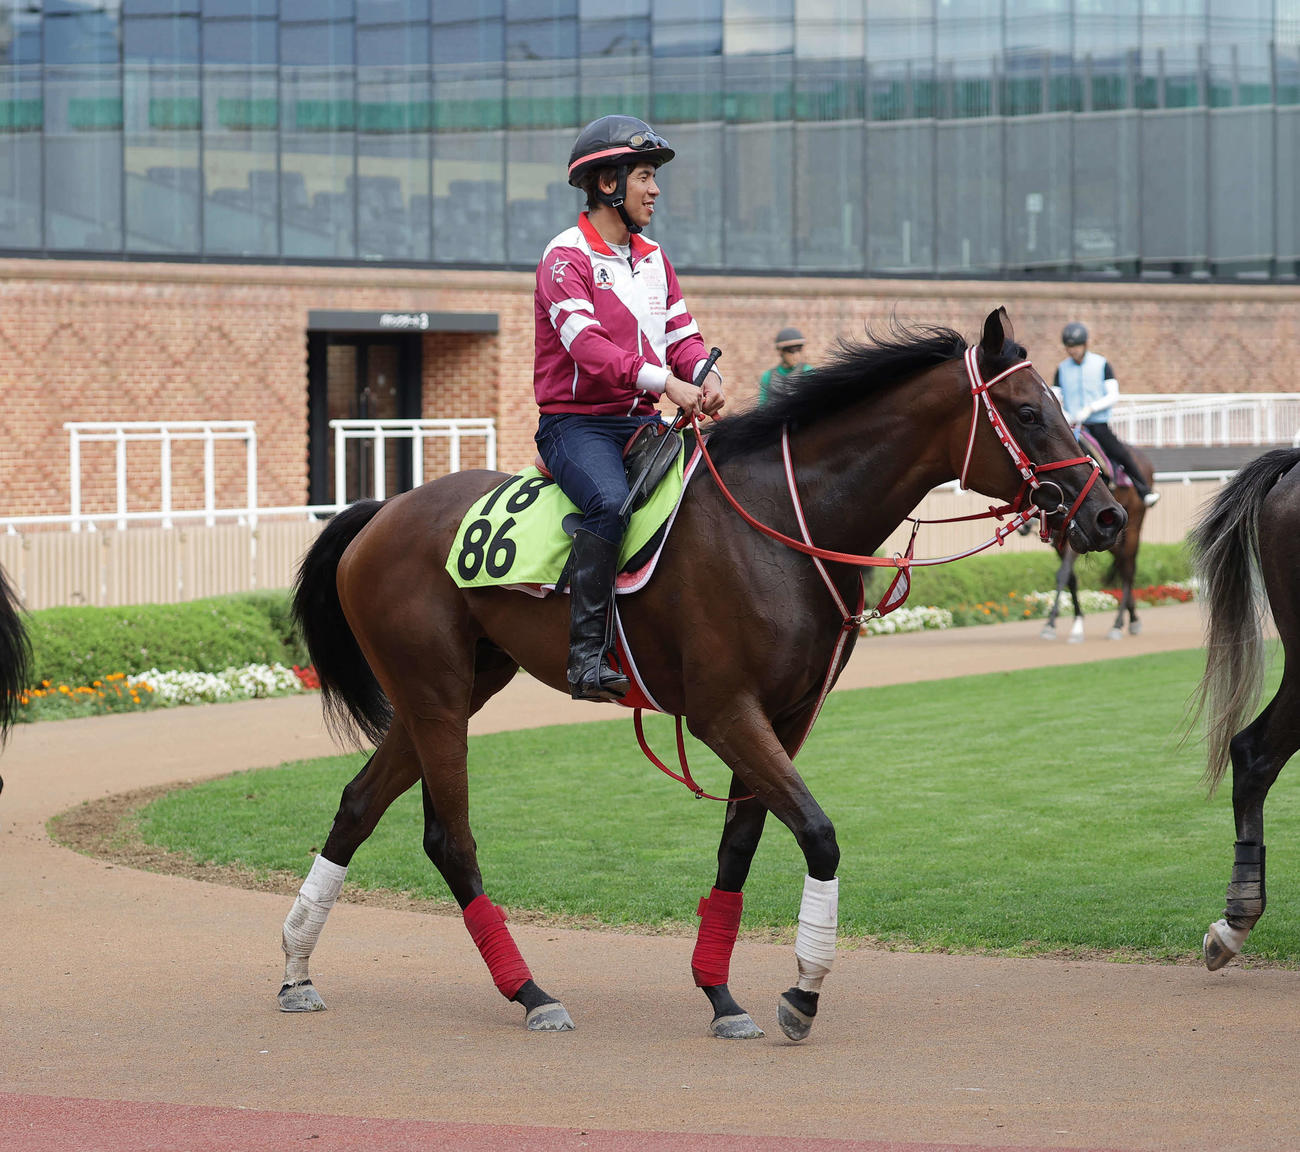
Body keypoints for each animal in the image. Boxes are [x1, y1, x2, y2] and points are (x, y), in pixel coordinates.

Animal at [277, 307, 1126, 1041]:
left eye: (1057, 400)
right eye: (1027, 409)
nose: (1108, 513)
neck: (782, 521)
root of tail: (381, 512)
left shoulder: (784, 716)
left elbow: (739, 849)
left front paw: (721, 994)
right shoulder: (726, 713)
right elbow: (817, 833)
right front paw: (802, 991)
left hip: (454, 694)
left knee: (357, 805)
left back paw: (297, 968)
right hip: (436, 693)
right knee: (450, 840)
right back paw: (530, 992)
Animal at [1039, 444, 1155, 642]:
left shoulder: (1078, 534)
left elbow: (1064, 573)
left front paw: (1051, 623)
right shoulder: (1062, 541)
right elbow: (1069, 577)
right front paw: (1076, 622)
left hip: (1133, 526)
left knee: (1128, 569)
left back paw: (1118, 623)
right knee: (1122, 565)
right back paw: (1131, 616)